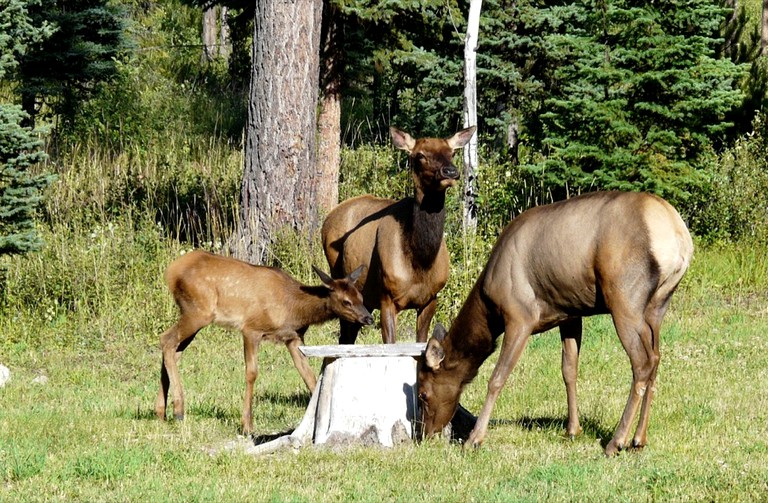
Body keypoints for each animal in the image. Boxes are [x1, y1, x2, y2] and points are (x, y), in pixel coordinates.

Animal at [154, 250, 372, 436]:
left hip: (193, 315)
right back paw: (178, 409)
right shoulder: (251, 329)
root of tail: (170, 272)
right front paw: (247, 426)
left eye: (360, 296)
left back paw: (161, 412)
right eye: (346, 301)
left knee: (174, 350)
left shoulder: (293, 338)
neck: (294, 309)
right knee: (166, 340)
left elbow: (308, 375)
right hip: (198, 311)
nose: (368, 318)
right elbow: (252, 373)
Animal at [320, 126, 476, 346]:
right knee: (345, 335)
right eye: (420, 155)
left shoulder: (431, 298)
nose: (450, 172)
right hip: (338, 276)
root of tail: (329, 217)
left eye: (452, 152)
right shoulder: (387, 298)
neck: (420, 262)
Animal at [416, 190, 692, 456]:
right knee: (655, 358)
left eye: (423, 394)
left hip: (624, 298)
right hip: (657, 306)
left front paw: (474, 439)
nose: (424, 434)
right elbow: (569, 370)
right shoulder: (569, 314)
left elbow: (497, 377)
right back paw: (639, 439)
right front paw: (573, 429)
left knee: (642, 363)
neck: (489, 310)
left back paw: (616, 441)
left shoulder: (520, 316)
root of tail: (678, 235)